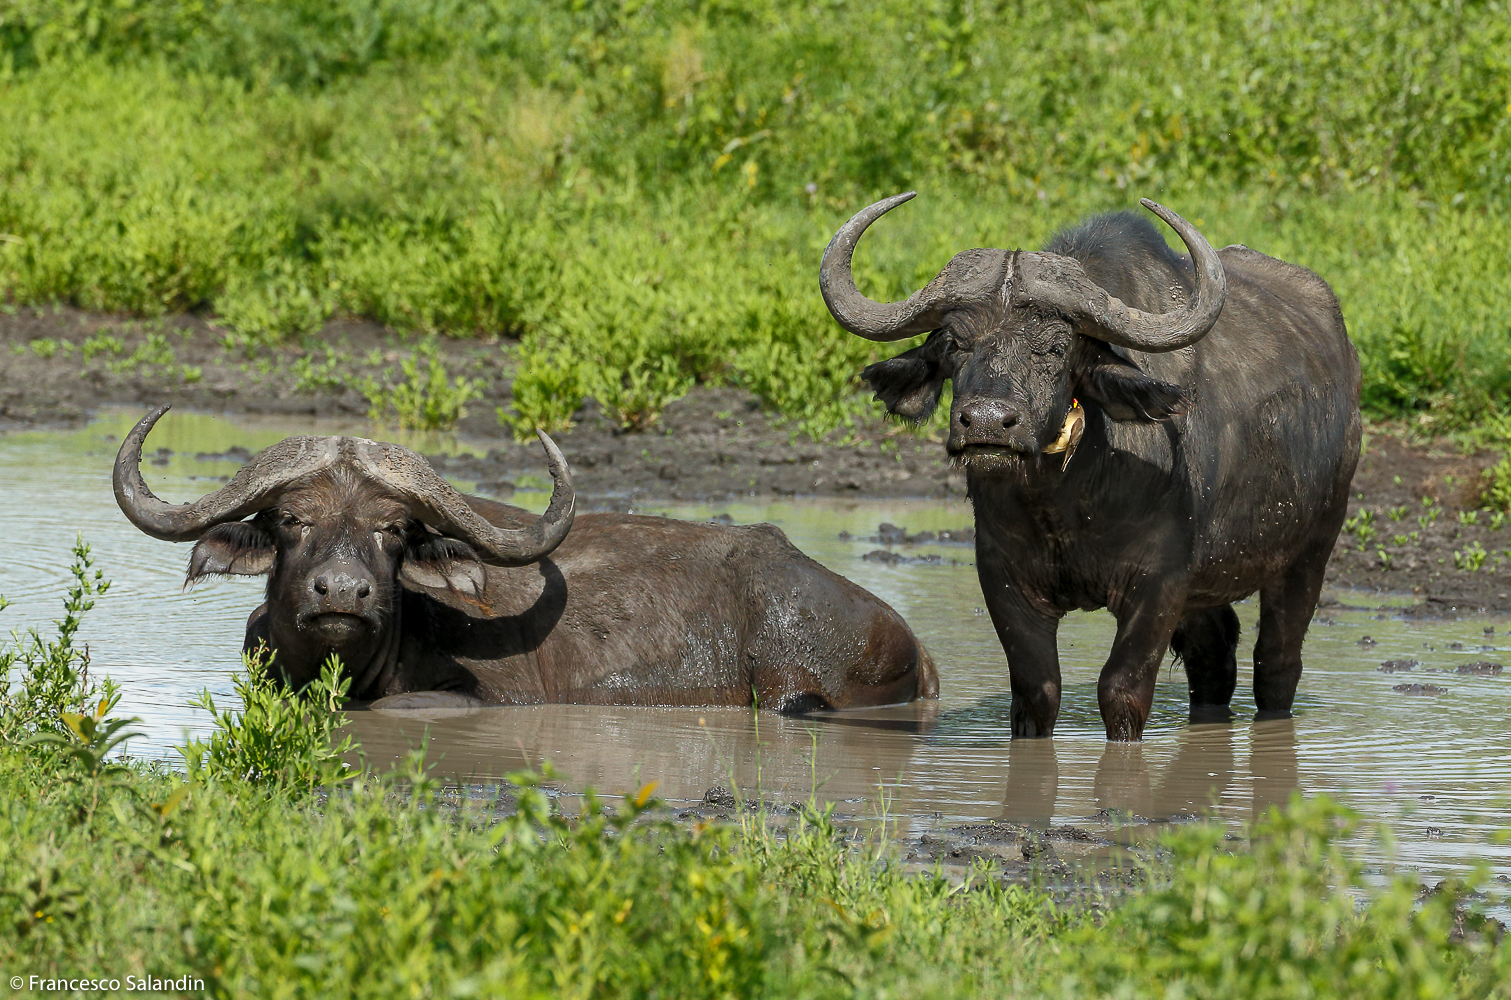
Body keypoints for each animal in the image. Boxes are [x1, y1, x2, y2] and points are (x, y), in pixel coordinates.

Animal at [820, 193, 1360, 740]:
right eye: (953, 343)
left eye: (1058, 347)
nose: (988, 421)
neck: (1066, 498)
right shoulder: (1004, 578)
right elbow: (1036, 692)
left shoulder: (1159, 585)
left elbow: (1121, 691)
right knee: (1214, 657)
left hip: (1310, 550)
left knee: (1277, 662)